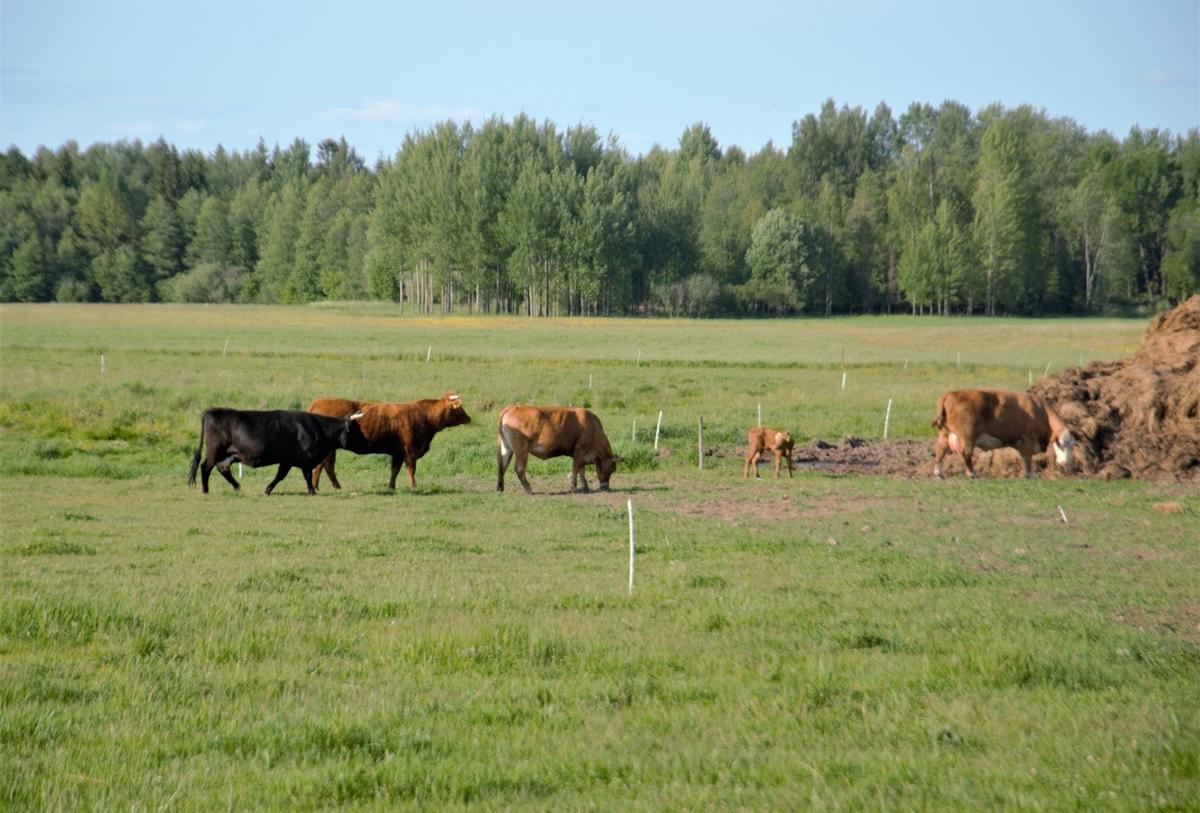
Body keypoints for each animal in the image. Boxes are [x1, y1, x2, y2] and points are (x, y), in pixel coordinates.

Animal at [184, 407, 362, 496]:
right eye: (355, 430)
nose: (365, 443)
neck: (317, 429)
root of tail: (210, 411)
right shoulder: (305, 459)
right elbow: (306, 475)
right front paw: (312, 491)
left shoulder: (287, 461)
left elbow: (280, 476)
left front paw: (268, 489)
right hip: (214, 451)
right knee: (206, 467)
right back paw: (206, 490)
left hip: (230, 455)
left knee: (223, 469)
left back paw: (237, 487)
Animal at [307, 393, 470, 491]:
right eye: (459, 407)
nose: (469, 418)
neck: (424, 416)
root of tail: (321, 400)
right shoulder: (410, 451)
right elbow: (411, 470)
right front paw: (413, 486)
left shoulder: (398, 453)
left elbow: (394, 471)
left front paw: (391, 487)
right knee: (321, 466)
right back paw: (317, 487)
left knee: (327, 466)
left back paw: (335, 487)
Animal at [926, 388, 1080, 477]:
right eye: (1060, 444)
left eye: (1072, 445)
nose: (1066, 463)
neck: (1039, 410)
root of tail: (950, 394)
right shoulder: (1028, 439)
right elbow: (1028, 458)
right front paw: (1030, 474)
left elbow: (1024, 457)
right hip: (968, 436)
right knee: (966, 454)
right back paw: (972, 473)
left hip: (945, 434)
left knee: (940, 451)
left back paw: (938, 473)